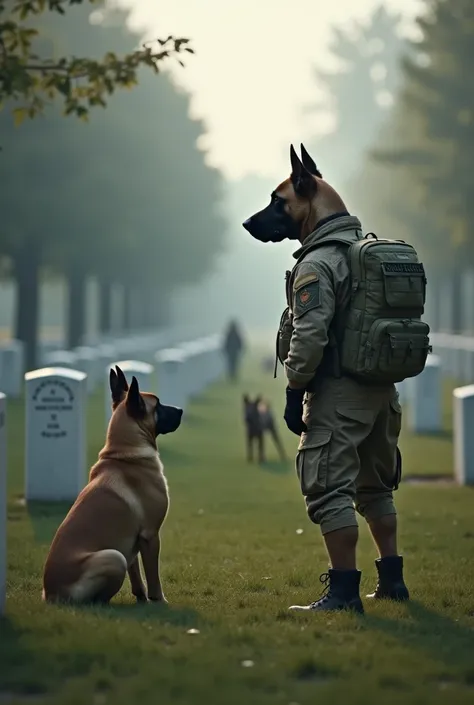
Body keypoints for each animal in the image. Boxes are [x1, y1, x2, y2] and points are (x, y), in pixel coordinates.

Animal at [41, 366, 182, 604]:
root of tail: (52, 593)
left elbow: (137, 575)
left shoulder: (132, 542)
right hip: (114, 558)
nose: (181, 410)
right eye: (158, 405)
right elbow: (153, 577)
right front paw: (159, 601)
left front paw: (142, 598)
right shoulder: (150, 536)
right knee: (98, 600)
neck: (125, 453)